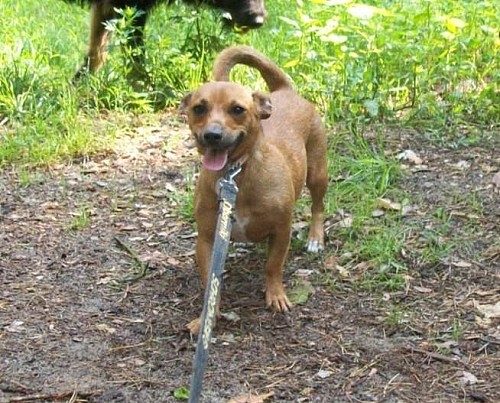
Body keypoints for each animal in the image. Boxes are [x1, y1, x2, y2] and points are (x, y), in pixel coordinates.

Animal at [66, 0, 267, 80]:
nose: (258, 20)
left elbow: (96, 49)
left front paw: (78, 83)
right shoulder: (131, 8)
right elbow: (135, 52)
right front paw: (142, 84)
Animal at [180, 46, 328, 334]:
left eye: (238, 110)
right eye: (199, 108)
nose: (212, 135)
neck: (236, 176)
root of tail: (284, 90)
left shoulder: (282, 230)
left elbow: (273, 266)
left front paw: (276, 295)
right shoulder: (206, 240)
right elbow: (211, 284)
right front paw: (206, 319)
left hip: (318, 174)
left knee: (318, 206)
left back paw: (315, 238)